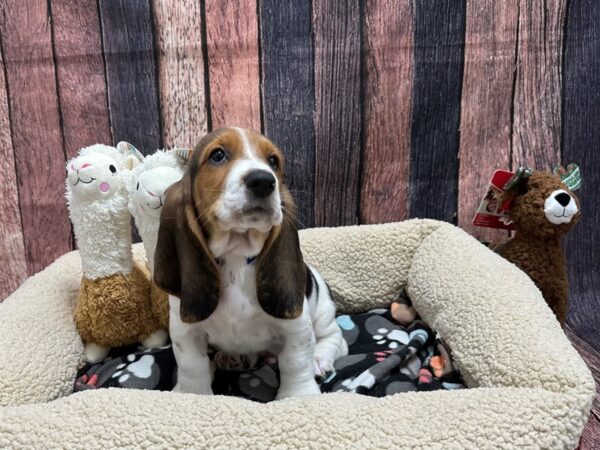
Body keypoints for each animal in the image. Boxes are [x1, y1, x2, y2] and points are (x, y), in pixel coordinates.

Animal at [154, 128, 346, 400]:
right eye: (218, 155)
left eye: (273, 161)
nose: (264, 181)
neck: (236, 258)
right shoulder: (185, 330)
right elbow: (192, 365)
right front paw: (193, 395)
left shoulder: (296, 327)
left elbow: (296, 361)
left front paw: (299, 396)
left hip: (323, 313)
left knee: (335, 339)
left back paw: (319, 359)